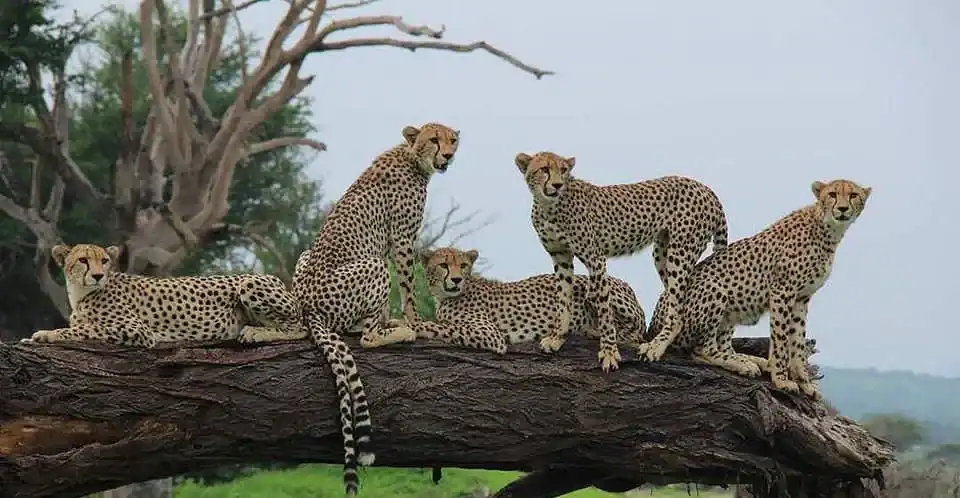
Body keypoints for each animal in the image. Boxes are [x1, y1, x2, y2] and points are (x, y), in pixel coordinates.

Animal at [20, 243, 371, 496]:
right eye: (82, 260)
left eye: (104, 261)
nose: (97, 275)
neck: (82, 294)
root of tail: (293, 291)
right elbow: (77, 326)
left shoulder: (136, 331)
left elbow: (79, 330)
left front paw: (44, 334)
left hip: (250, 284)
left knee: (297, 328)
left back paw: (255, 333)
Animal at [292, 122, 459, 492]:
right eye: (433, 139)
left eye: (452, 140)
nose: (449, 155)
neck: (412, 157)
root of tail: (307, 307)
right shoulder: (402, 238)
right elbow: (408, 286)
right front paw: (415, 322)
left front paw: (396, 319)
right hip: (373, 265)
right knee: (365, 338)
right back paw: (400, 332)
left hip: (307, 257)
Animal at [411, 246, 646, 353]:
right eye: (443, 265)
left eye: (463, 266)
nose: (457, 279)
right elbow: (443, 324)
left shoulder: (490, 335)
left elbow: (441, 327)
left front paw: (411, 327)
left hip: (591, 286)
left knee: (635, 333)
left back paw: (592, 331)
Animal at [514, 151, 728, 372]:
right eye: (544, 169)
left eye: (563, 170)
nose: (557, 185)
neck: (548, 206)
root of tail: (706, 189)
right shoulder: (560, 256)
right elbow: (563, 298)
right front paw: (558, 337)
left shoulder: (596, 259)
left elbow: (604, 308)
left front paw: (609, 352)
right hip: (662, 252)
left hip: (681, 252)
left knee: (677, 308)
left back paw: (656, 346)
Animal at [643, 179, 872, 399]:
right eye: (832, 194)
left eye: (853, 195)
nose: (842, 208)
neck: (827, 229)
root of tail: (653, 325)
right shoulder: (783, 292)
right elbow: (781, 340)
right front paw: (781, 379)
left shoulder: (802, 298)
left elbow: (797, 342)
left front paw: (804, 383)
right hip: (715, 290)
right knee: (701, 349)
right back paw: (743, 363)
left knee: (722, 344)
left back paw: (749, 361)